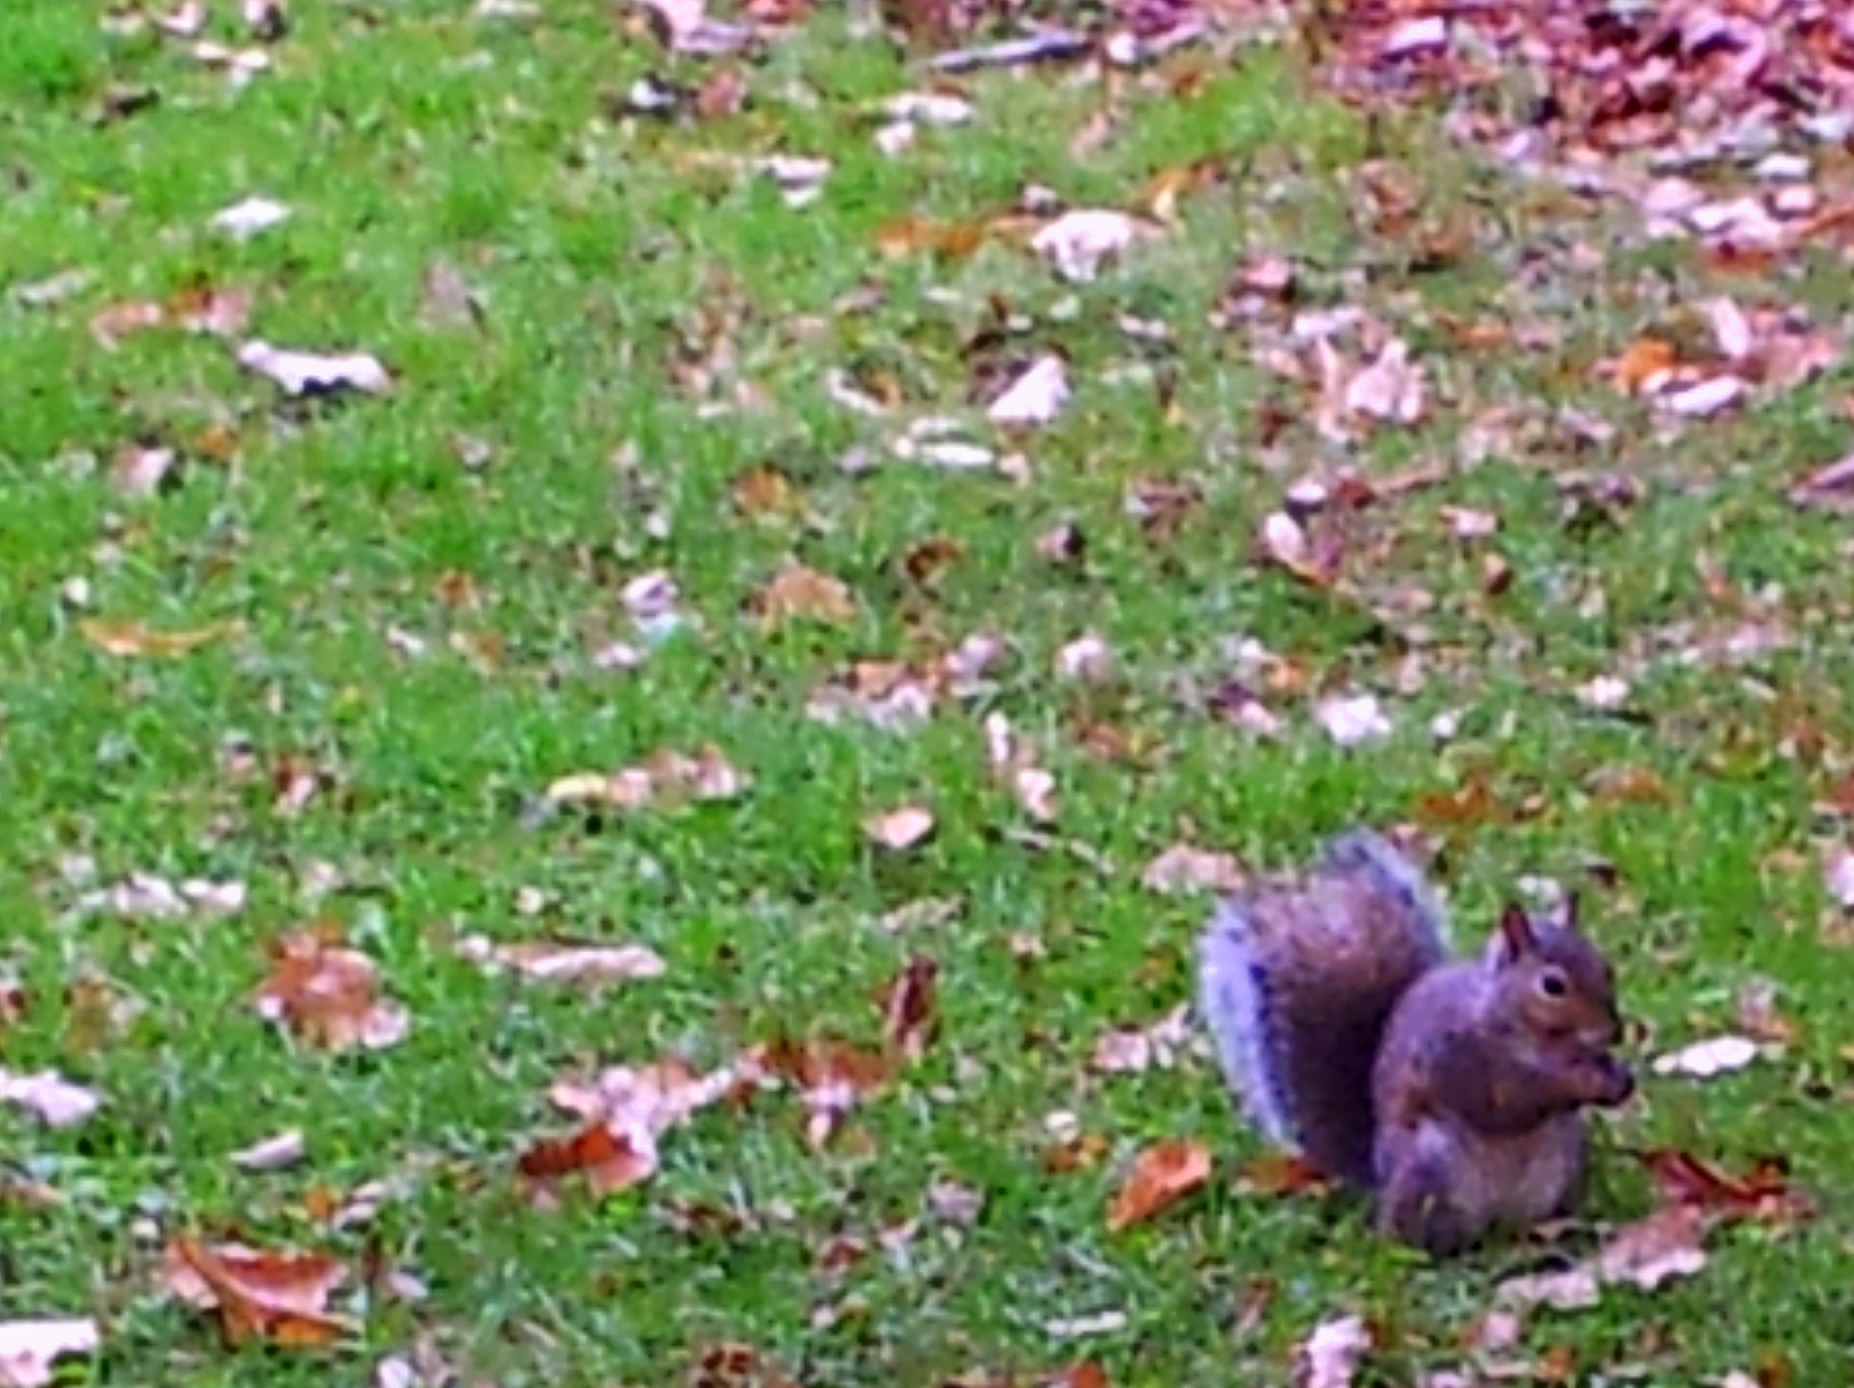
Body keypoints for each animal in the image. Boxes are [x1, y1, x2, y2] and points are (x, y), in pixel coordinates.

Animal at [1196, 827, 1634, 1255]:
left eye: (1606, 968)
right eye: (1552, 985)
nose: (1615, 1031)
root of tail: (1380, 1187)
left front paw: (1618, 1076)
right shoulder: (1460, 1055)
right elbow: (1507, 1101)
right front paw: (1583, 1081)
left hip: (1565, 1157)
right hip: (1430, 1167)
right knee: (1418, 1236)